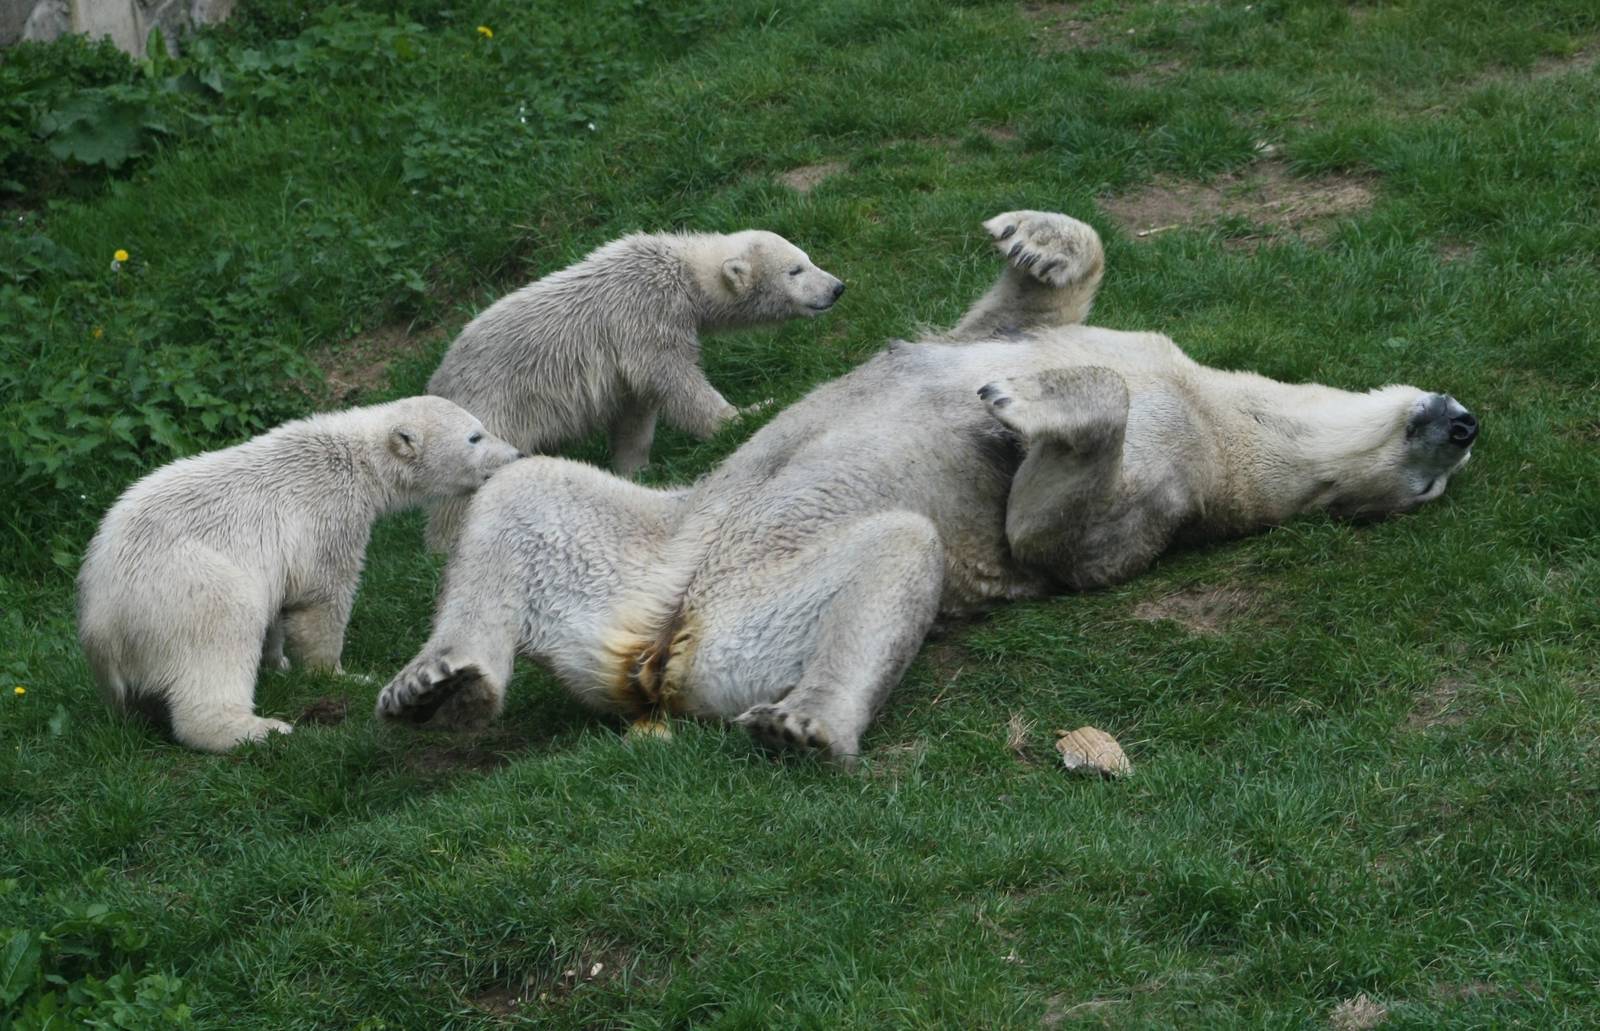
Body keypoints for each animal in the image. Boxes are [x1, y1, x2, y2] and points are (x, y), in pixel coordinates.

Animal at [78, 395, 522, 753]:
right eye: (475, 437)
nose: (515, 455)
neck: (354, 458)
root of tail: (103, 627)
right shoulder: (328, 514)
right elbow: (322, 598)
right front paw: (341, 674)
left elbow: (280, 605)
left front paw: (278, 663)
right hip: (185, 591)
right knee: (219, 640)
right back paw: (260, 730)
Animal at [422, 228, 845, 551]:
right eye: (795, 269)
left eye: (807, 257)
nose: (837, 288)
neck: (681, 273)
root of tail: (439, 379)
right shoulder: (646, 317)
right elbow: (676, 381)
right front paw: (747, 414)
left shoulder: (628, 355)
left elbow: (635, 411)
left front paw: (634, 470)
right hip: (493, 406)